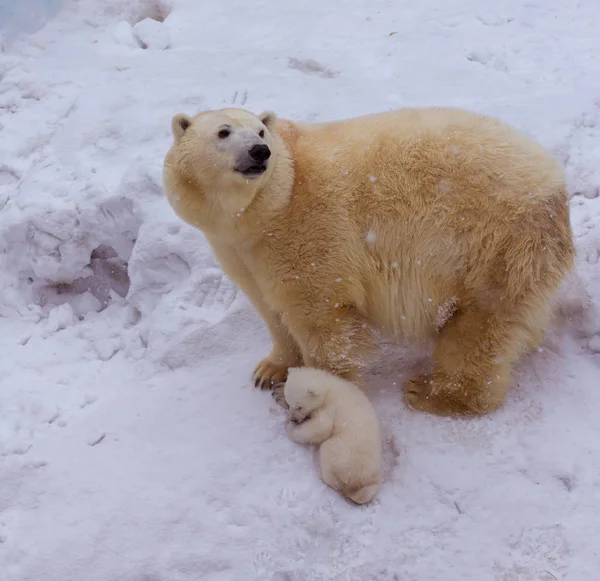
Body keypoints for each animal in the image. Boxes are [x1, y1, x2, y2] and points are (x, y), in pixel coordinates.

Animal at [162, 105, 576, 416]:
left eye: (262, 131)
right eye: (223, 132)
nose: (259, 152)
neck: (268, 208)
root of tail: (557, 191)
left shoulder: (308, 232)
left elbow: (322, 318)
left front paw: (315, 391)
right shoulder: (239, 250)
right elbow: (270, 308)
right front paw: (269, 370)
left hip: (494, 246)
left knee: (480, 325)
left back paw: (430, 392)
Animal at [284, 368, 382, 502]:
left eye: (299, 407)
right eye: (289, 403)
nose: (293, 419)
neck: (329, 387)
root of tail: (355, 482)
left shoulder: (330, 407)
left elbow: (322, 427)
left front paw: (291, 428)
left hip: (343, 454)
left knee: (328, 453)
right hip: (373, 472)